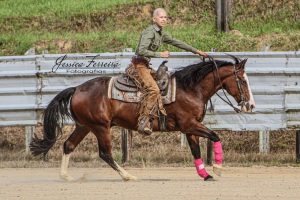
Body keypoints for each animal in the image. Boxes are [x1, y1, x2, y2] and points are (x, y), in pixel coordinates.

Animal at [30, 55, 254, 181]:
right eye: (242, 80)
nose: (250, 105)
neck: (190, 89)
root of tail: (77, 88)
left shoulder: (189, 128)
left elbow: (196, 150)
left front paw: (205, 174)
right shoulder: (190, 124)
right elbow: (215, 136)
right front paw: (217, 168)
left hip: (84, 126)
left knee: (68, 145)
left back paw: (66, 176)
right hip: (101, 127)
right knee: (105, 153)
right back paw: (128, 176)